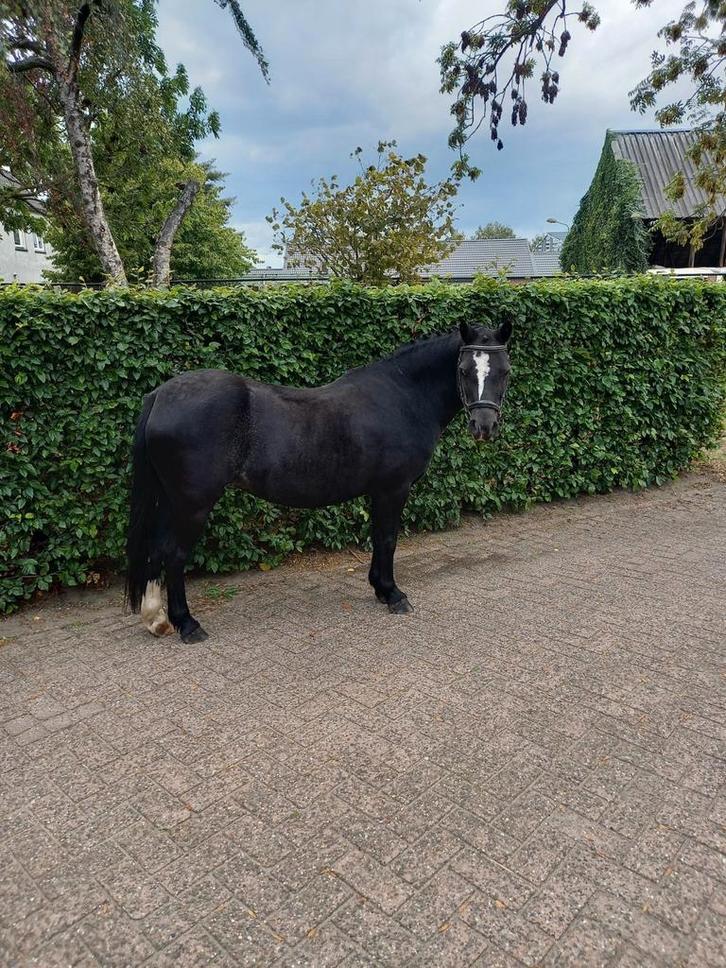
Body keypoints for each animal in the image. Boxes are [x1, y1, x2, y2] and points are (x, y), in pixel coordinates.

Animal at [125, 318, 512, 642]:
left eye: (504, 371)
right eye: (463, 369)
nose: (484, 427)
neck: (402, 396)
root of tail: (160, 396)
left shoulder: (378, 492)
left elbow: (377, 538)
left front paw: (378, 588)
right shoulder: (393, 489)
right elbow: (388, 539)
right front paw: (393, 594)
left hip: (172, 500)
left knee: (157, 549)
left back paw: (157, 619)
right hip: (193, 504)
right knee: (174, 554)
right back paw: (188, 624)